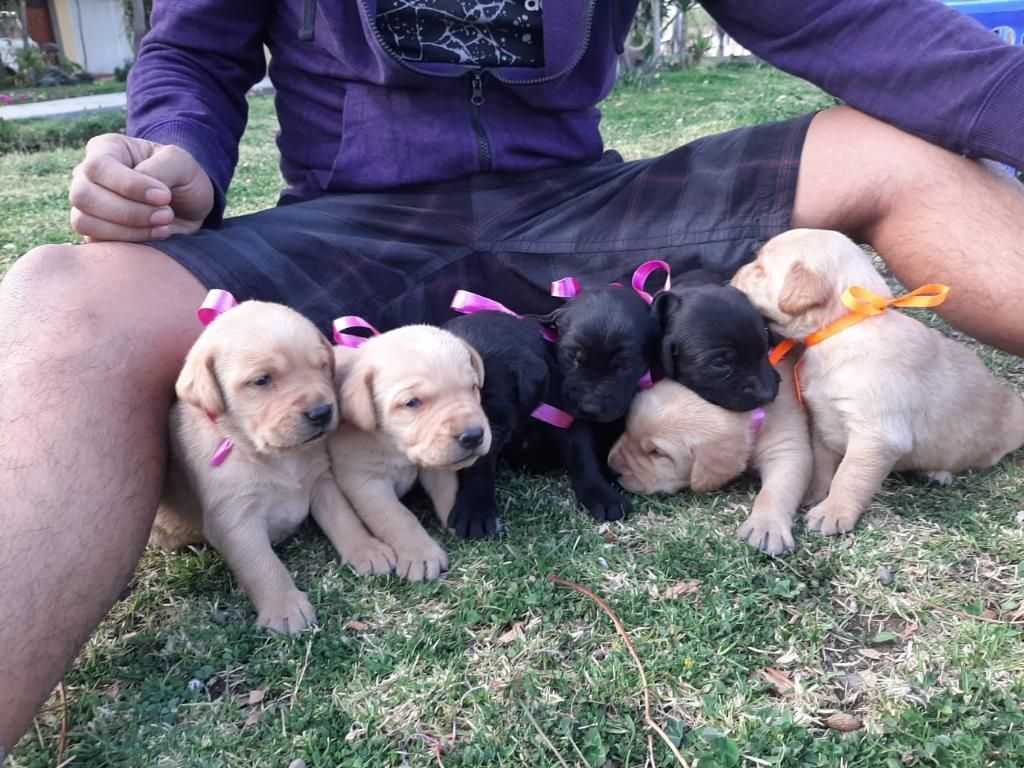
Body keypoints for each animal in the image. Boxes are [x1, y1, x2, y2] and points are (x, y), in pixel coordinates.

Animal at [151, 303, 395, 634]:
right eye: (262, 380)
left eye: (322, 366)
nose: (322, 412)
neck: (274, 456)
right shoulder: (234, 519)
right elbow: (262, 565)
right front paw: (284, 607)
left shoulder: (322, 481)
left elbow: (344, 518)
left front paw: (367, 550)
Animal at [327, 325, 487, 581]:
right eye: (412, 403)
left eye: (472, 387)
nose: (473, 436)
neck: (394, 447)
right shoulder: (365, 482)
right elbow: (396, 517)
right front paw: (420, 553)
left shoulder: (433, 462)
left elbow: (447, 490)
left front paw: (458, 515)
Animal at [602, 358, 811, 557]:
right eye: (626, 429)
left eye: (657, 452)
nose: (611, 468)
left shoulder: (786, 446)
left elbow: (776, 490)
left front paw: (766, 527)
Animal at [733, 230, 1024, 536]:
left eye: (760, 269)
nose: (734, 275)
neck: (841, 328)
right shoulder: (823, 421)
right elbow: (823, 465)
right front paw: (814, 493)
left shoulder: (877, 435)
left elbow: (849, 476)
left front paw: (832, 512)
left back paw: (938, 472)